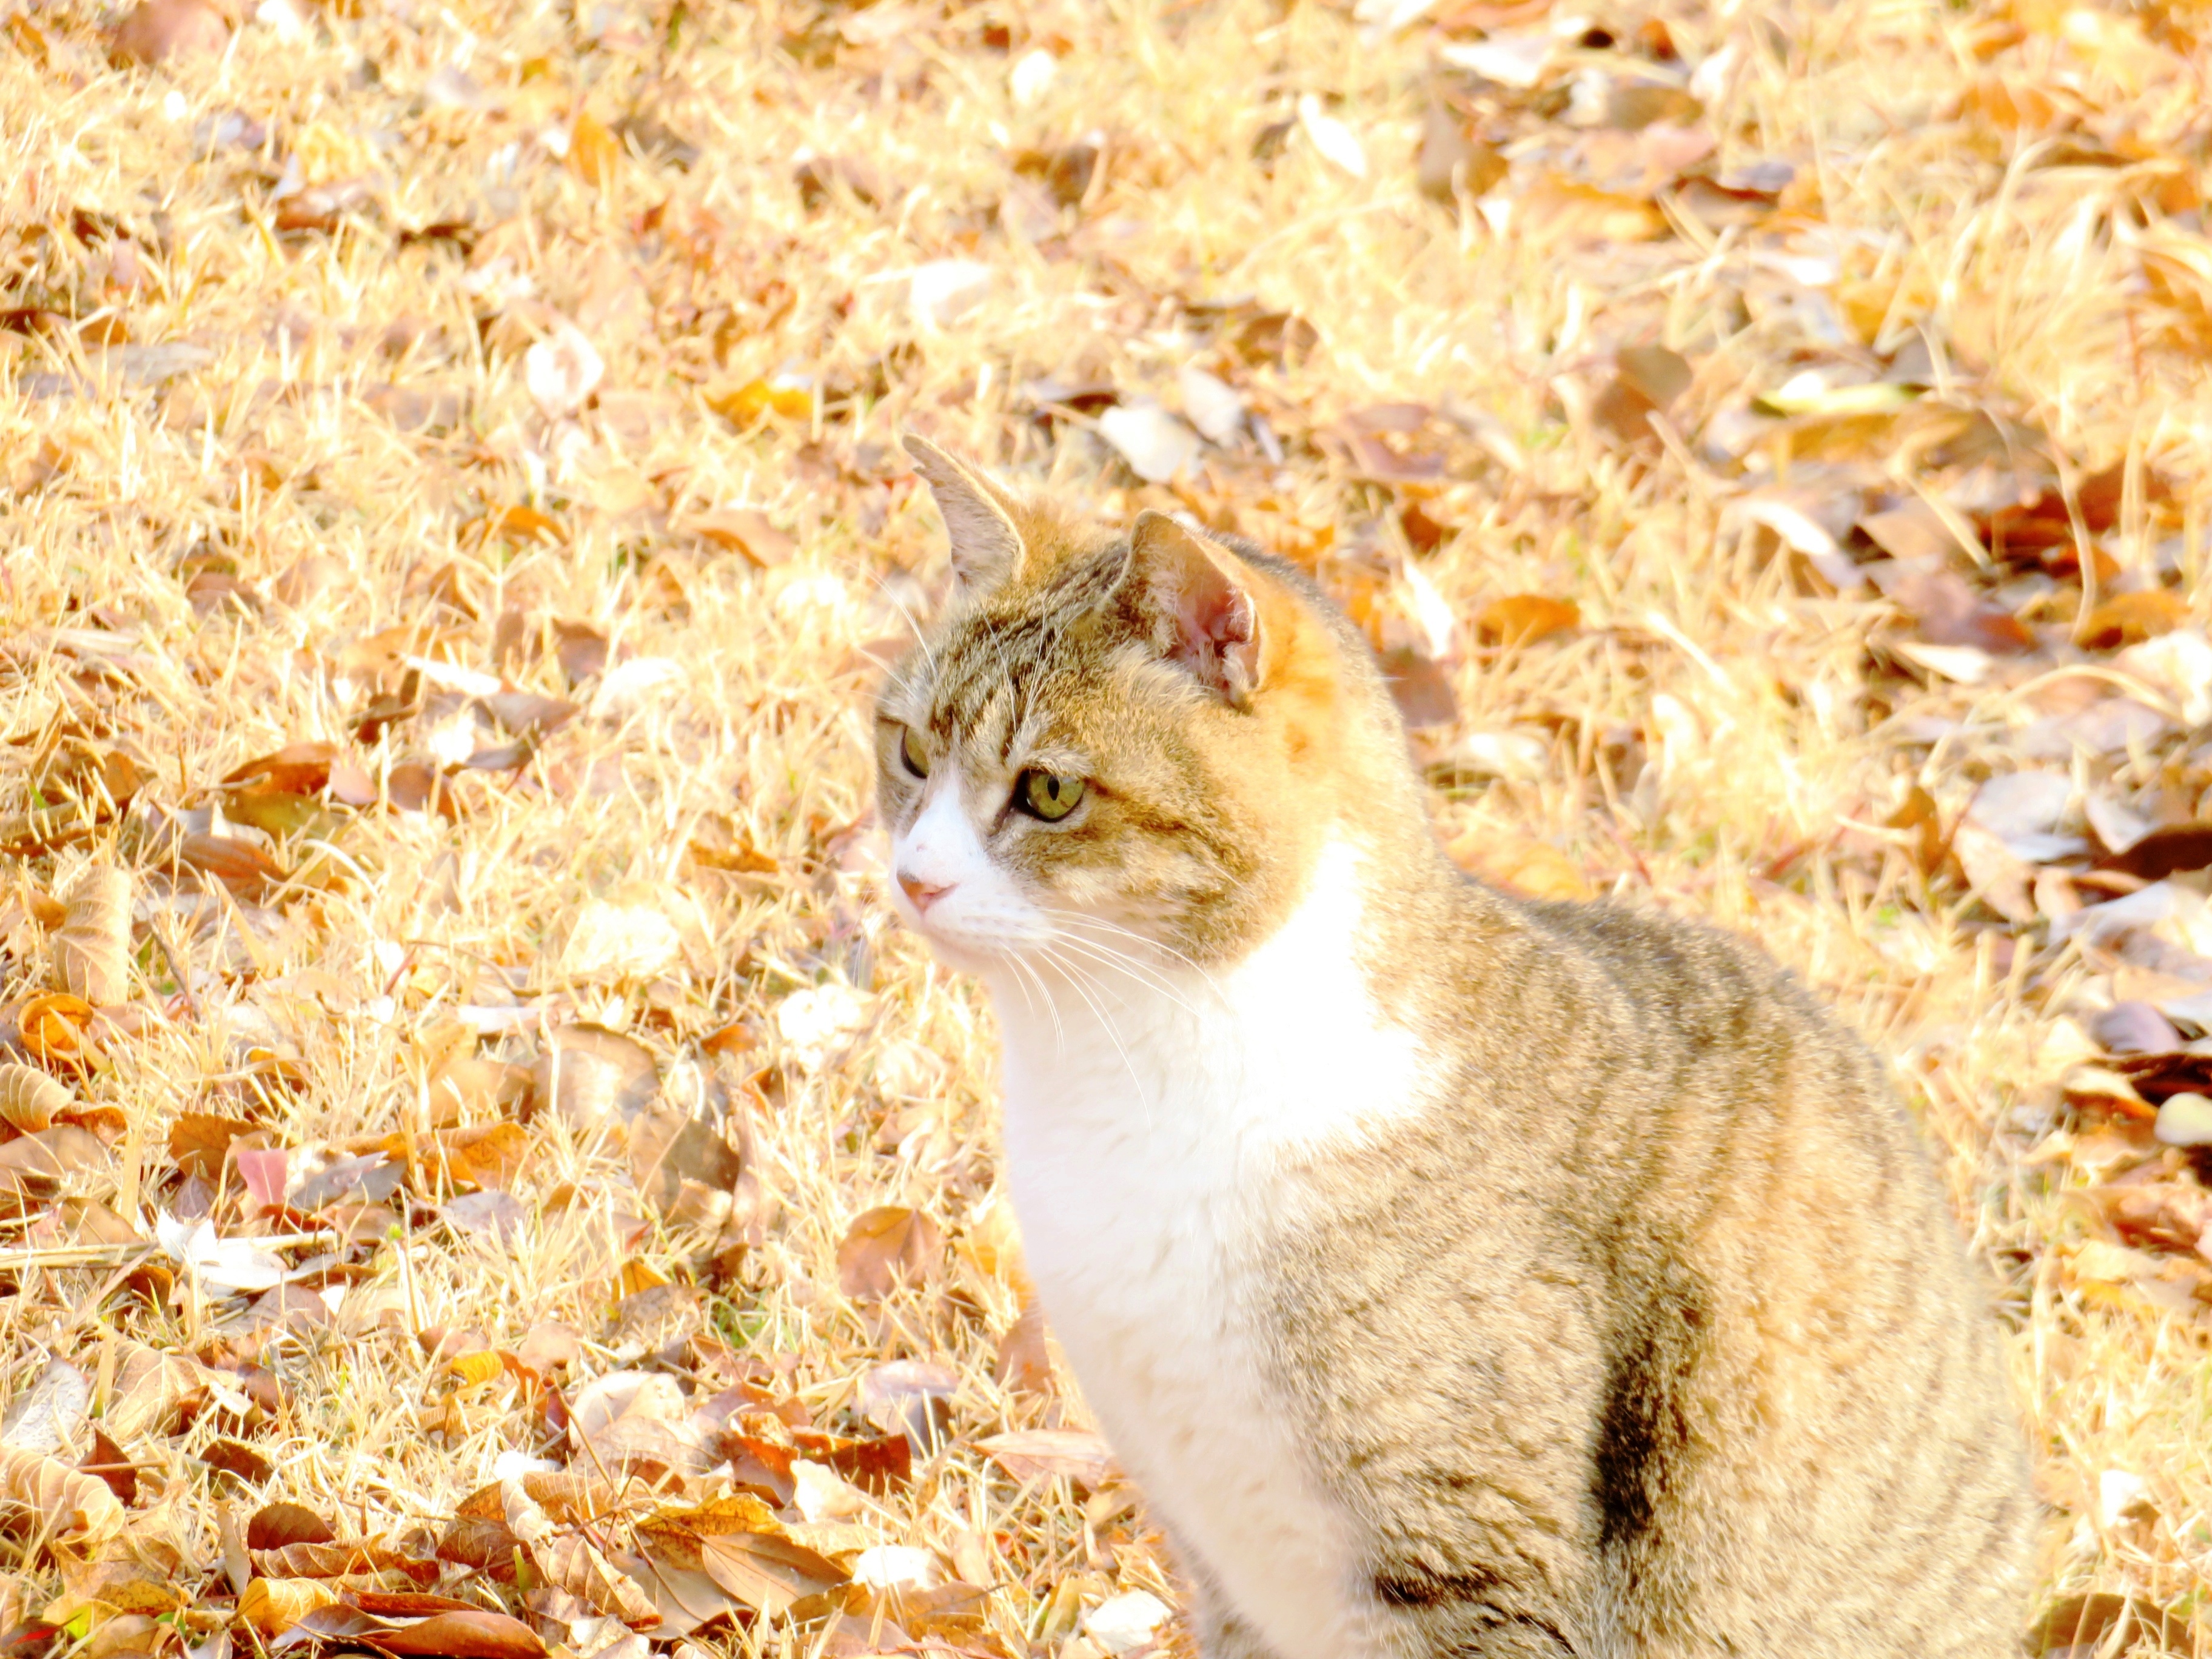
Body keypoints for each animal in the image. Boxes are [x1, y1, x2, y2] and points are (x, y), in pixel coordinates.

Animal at [867, 438, 2035, 1659]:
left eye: (1048, 791)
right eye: (909, 751)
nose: (914, 878)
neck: (1122, 1073)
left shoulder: (1478, 1561)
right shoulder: (1217, 1552)